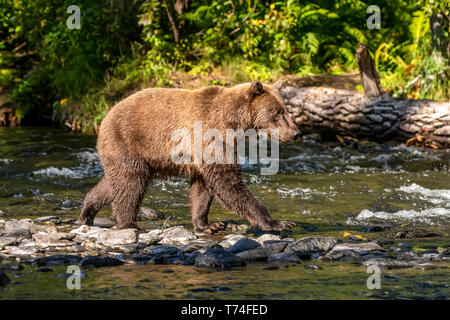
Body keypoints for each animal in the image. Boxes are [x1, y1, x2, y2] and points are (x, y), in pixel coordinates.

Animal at [80, 80, 300, 232]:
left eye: (286, 110)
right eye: (277, 111)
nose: (296, 133)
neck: (233, 123)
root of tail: (105, 118)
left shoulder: (207, 152)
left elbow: (202, 187)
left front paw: (207, 225)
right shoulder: (209, 135)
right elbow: (227, 182)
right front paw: (277, 222)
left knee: (114, 183)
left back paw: (87, 213)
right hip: (128, 141)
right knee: (131, 182)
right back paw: (130, 224)